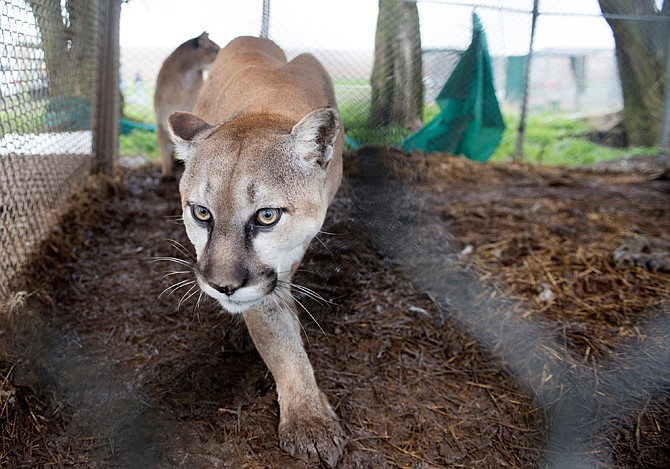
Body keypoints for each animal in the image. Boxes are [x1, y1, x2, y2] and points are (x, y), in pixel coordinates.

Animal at [168, 35, 346, 464]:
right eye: (202, 212)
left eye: (266, 216)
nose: (223, 286)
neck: (270, 103)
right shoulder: (264, 287)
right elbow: (280, 340)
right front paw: (309, 421)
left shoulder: (282, 262)